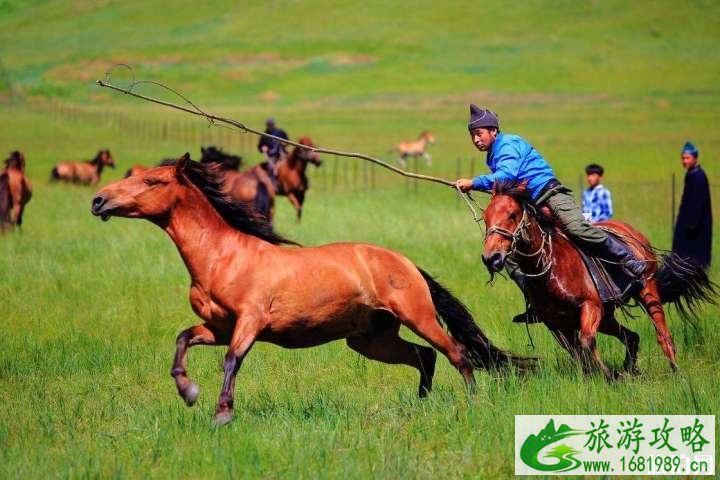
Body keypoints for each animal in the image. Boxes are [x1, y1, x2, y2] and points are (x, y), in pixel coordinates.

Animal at [91, 154, 536, 424]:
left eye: (151, 180)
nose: (98, 201)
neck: (222, 257)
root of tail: (406, 263)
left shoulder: (249, 322)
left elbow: (232, 361)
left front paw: (221, 413)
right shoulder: (218, 328)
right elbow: (183, 339)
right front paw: (188, 391)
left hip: (418, 317)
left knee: (456, 353)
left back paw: (473, 403)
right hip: (369, 339)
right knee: (424, 357)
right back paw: (420, 404)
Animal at [478, 182, 716, 380]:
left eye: (512, 214)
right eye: (486, 217)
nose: (492, 257)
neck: (550, 265)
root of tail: (634, 233)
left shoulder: (590, 307)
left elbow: (586, 342)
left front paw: (608, 376)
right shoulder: (556, 325)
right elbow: (577, 353)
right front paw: (599, 377)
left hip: (647, 291)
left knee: (662, 333)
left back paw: (675, 371)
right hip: (607, 317)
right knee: (631, 337)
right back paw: (630, 370)